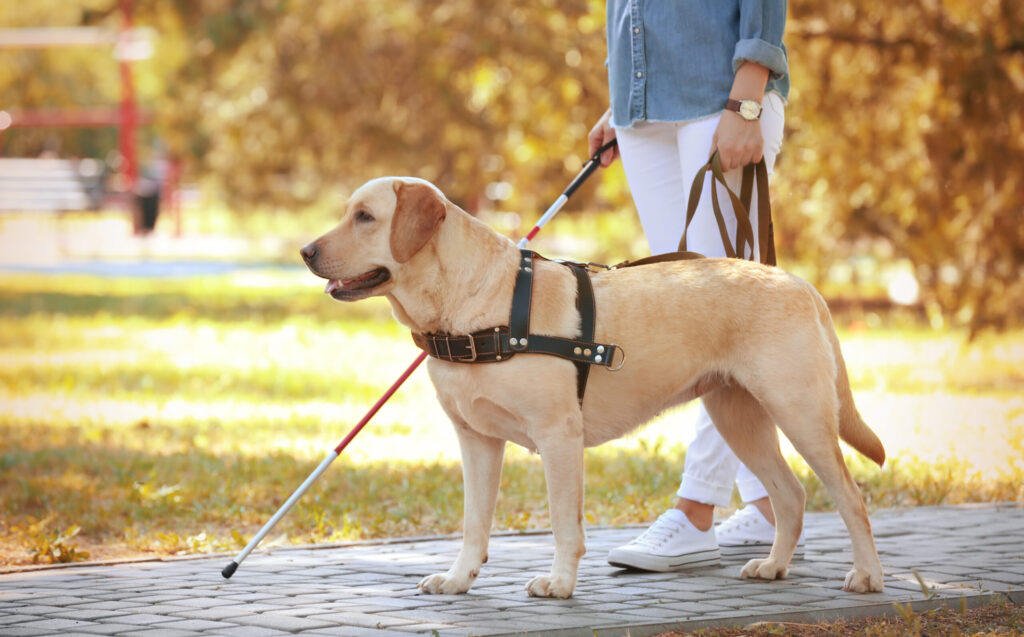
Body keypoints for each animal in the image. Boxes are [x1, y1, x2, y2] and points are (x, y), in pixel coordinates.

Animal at [299, 176, 884, 598]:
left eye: (365, 217)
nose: (305, 251)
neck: (473, 306)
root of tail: (799, 282)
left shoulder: (559, 436)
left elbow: (564, 523)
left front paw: (559, 584)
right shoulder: (477, 440)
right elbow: (474, 524)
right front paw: (460, 578)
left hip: (800, 413)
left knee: (850, 497)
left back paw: (867, 576)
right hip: (738, 418)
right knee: (791, 495)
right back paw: (775, 566)